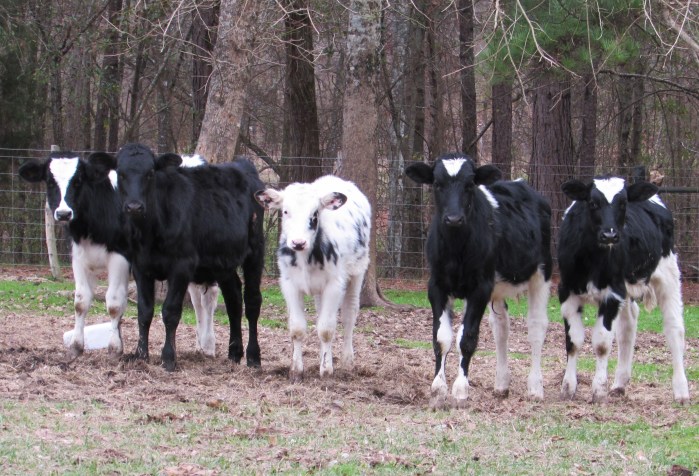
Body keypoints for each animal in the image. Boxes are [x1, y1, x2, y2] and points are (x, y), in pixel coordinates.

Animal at [18, 151, 220, 359]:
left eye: (78, 180)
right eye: (50, 181)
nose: (64, 213)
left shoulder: (120, 257)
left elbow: (114, 302)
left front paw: (115, 348)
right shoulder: (79, 256)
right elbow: (81, 301)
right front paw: (76, 346)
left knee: (209, 299)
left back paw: (209, 345)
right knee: (196, 299)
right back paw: (200, 345)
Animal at [106, 143, 265, 371]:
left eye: (150, 173)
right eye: (120, 173)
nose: (134, 206)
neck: (149, 232)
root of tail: (243, 165)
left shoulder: (181, 266)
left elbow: (170, 311)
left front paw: (168, 358)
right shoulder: (140, 267)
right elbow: (144, 311)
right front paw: (141, 355)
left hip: (255, 250)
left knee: (252, 301)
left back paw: (253, 356)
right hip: (222, 260)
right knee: (234, 297)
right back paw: (234, 352)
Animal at [254, 175, 371, 382]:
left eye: (315, 213)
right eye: (285, 211)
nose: (298, 242)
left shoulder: (334, 285)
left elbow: (326, 329)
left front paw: (327, 370)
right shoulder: (289, 284)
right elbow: (297, 328)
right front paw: (296, 370)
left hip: (358, 272)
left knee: (349, 315)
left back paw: (347, 361)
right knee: (320, 313)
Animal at [405, 153, 552, 408]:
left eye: (470, 185)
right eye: (437, 184)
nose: (453, 219)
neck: (456, 249)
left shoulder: (480, 287)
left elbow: (467, 338)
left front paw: (460, 390)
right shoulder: (437, 286)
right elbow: (441, 338)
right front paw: (438, 389)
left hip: (542, 272)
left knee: (536, 327)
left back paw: (535, 387)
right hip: (497, 288)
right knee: (501, 328)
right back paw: (501, 384)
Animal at [558, 176, 689, 404]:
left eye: (623, 203)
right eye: (593, 202)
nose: (610, 235)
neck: (592, 259)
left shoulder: (612, 294)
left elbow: (602, 343)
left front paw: (598, 391)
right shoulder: (567, 292)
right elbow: (573, 341)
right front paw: (568, 387)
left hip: (669, 274)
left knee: (674, 329)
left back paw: (681, 391)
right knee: (628, 325)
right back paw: (619, 383)